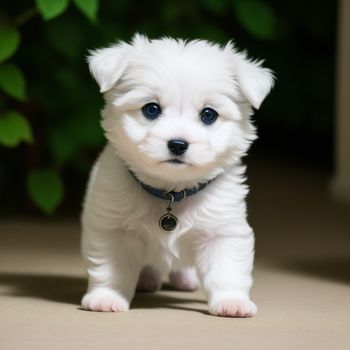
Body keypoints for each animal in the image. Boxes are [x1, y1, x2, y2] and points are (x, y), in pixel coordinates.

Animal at [81, 33, 274, 318]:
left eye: (208, 114)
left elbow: (226, 270)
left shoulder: (222, 230)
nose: (178, 144)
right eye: (151, 109)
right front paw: (107, 297)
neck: (171, 192)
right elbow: (112, 269)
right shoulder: (114, 229)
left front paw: (232, 302)